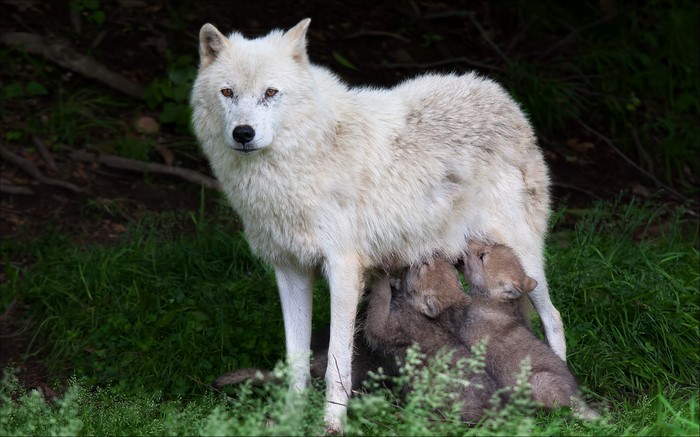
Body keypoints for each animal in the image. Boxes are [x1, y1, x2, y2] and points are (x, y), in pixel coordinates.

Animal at [190, 18, 563, 431]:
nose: (243, 133)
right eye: (228, 92)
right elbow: (296, 362)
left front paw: (332, 425)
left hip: (524, 259)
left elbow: (337, 363)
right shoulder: (290, 270)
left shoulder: (343, 271)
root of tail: (501, 96)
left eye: (270, 92)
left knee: (554, 317)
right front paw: (290, 419)